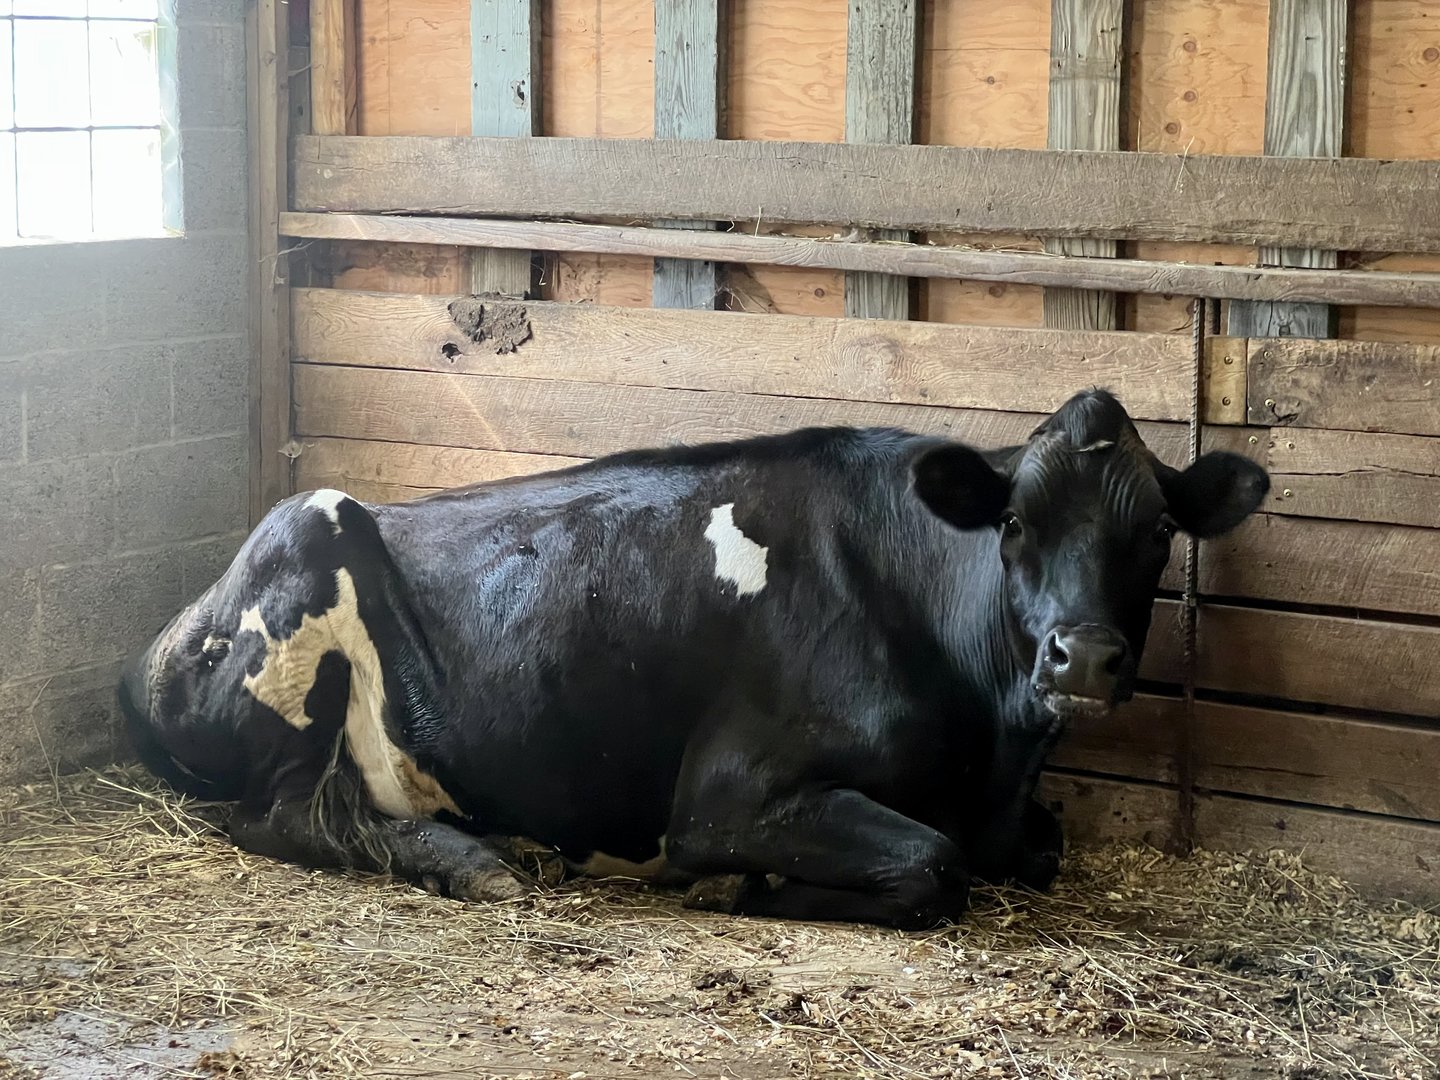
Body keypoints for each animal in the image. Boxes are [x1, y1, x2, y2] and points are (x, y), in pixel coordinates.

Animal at [119, 389, 1268, 929]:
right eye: (1017, 523)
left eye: (1159, 534)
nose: (1084, 658)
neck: (990, 755)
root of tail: (153, 649)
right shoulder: (725, 795)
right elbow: (935, 864)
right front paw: (736, 889)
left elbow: (1038, 847)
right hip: (303, 561)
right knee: (283, 816)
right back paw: (473, 861)